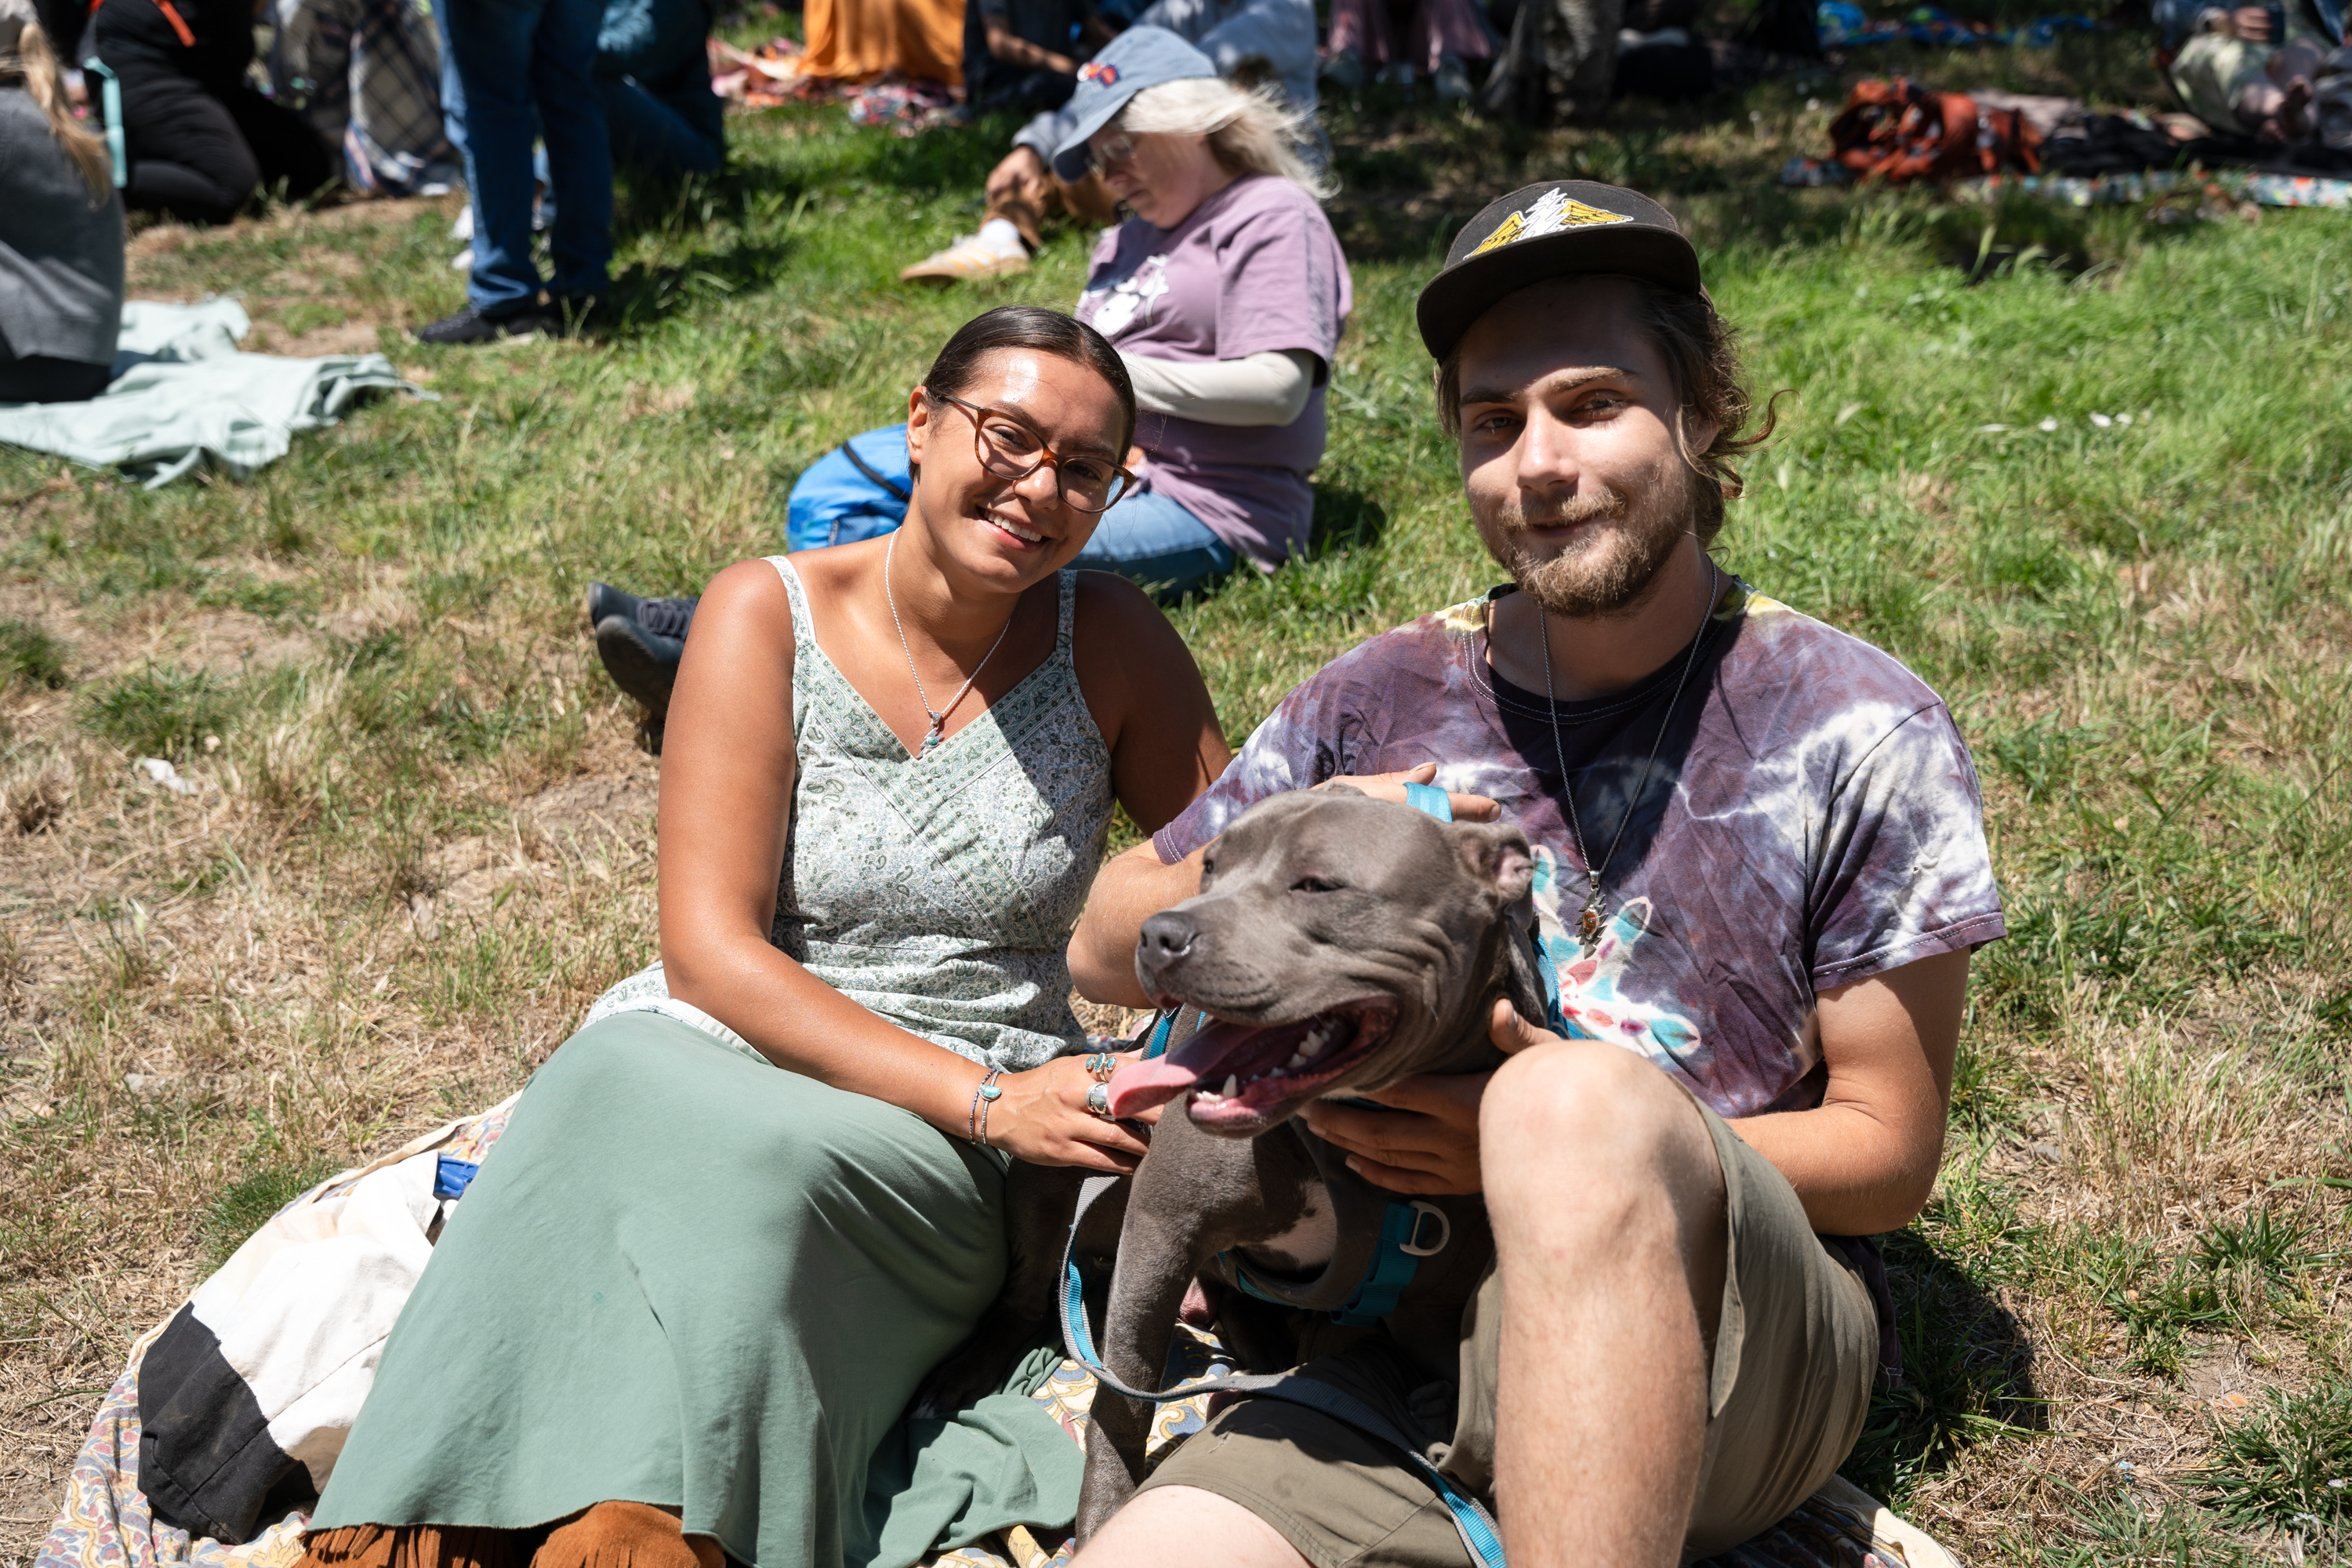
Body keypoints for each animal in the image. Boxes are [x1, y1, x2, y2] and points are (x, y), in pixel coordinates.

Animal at [908, 789, 1552, 1542]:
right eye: (1208, 867)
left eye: (1317, 885)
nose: (1157, 934)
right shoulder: (1161, 1229)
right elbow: (1124, 1395)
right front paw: (1103, 1513)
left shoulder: (1438, 1290)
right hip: (1049, 1175)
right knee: (1029, 1291)